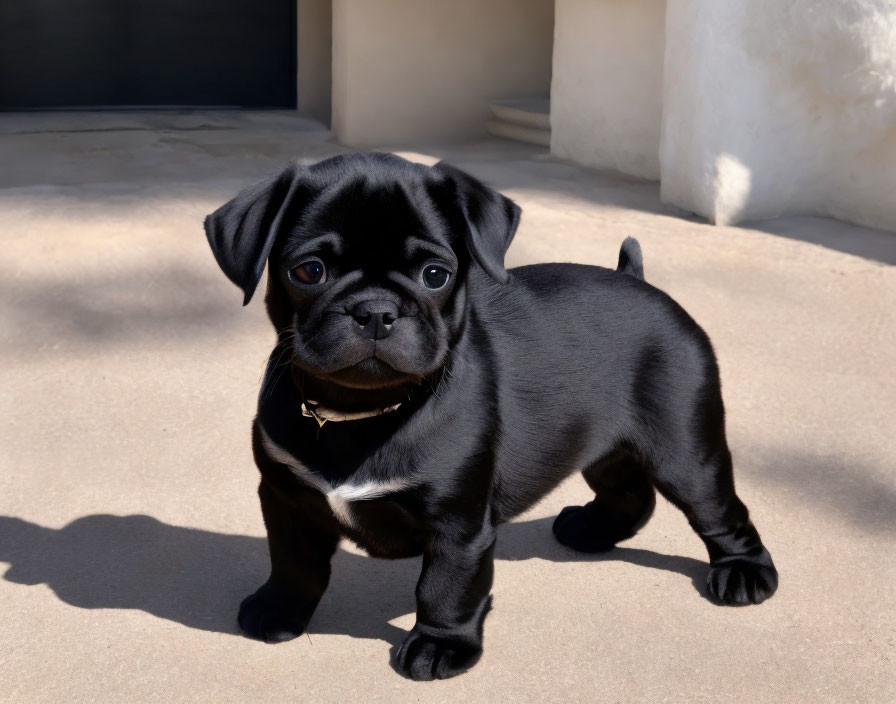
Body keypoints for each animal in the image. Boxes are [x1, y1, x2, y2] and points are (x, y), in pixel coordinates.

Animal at [205, 153, 776, 680]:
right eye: (309, 271)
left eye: (436, 275)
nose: (375, 310)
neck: (361, 410)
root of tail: (640, 282)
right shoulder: (287, 498)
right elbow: (294, 562)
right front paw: (280, 610)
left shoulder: (459, 525)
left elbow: (446, 586)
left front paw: (441, 645)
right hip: (603, 444)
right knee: (628, 490)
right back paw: (592, 530)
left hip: (685, 452)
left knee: (720, 512)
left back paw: (744, 574)